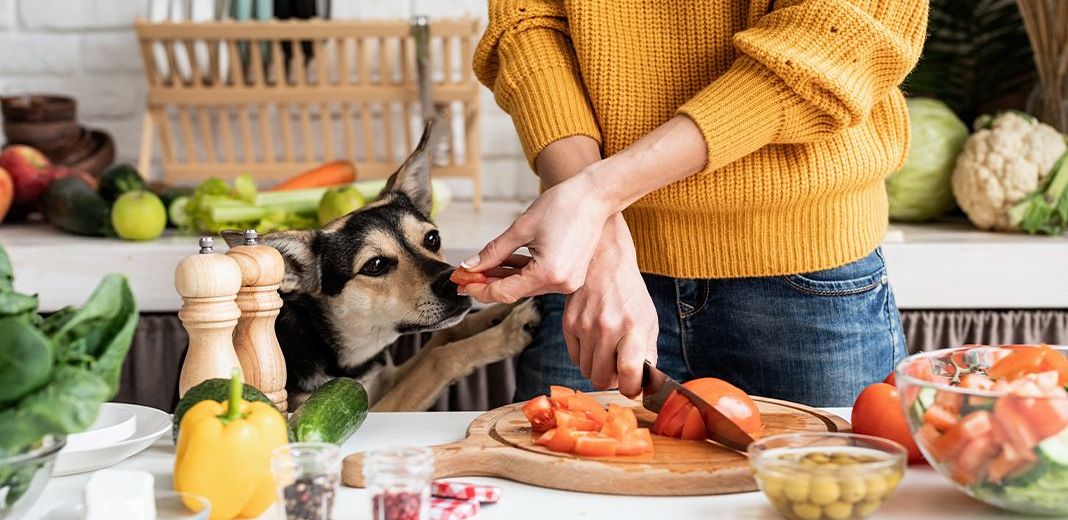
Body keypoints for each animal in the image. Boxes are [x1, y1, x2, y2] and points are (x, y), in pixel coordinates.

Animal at [226, 124, 542, 412]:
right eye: (375, 265)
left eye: (432, 238)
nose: (453, 284)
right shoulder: (370, 407)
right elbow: (438, 359)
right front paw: (507, 333)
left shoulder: (384, 378)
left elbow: (446, 334)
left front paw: (500, 311)